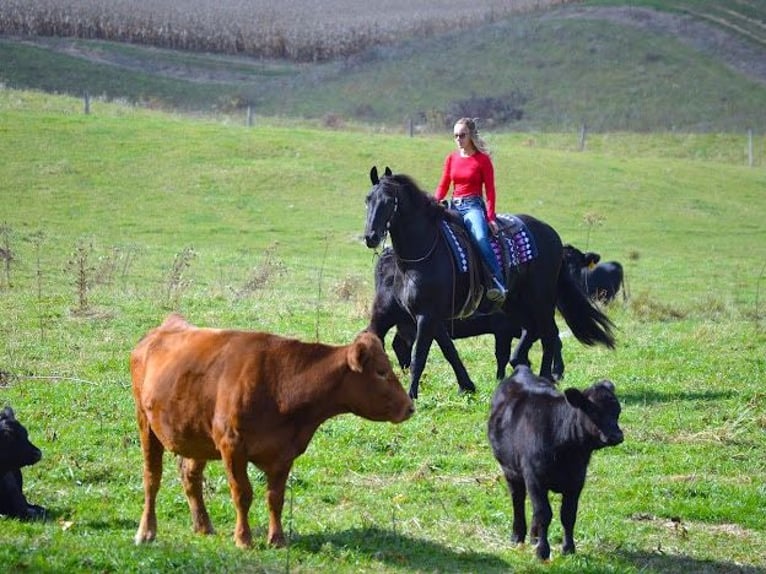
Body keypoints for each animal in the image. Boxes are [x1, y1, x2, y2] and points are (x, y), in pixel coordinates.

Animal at [132, 316, 414, 548]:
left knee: (190, 475)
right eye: (381, 372)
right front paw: (243, 538)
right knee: (152, 478)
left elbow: (275, 498)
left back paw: (203, 525)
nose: (409, 407)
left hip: (196, 433)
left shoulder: (283, 453)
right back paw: (146, 531)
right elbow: (242, 494)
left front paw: (277, 539)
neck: (279, 385)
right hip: (145, 423)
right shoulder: (232, 446)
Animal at [366, 166, 616, 400]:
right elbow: (448, 350)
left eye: (389, 202)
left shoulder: (427, 316)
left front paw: (412, 395)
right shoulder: (431, 317)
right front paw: (466, 385)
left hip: (540, 299)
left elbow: (421, 355)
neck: (422, 253)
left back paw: (546, 378)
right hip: (514, 303)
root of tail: (551, 233)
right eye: (368, 199)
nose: (371, 236)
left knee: (548, 335)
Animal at [488, 366, 628, 560]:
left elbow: (568, 515)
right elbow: (544, 513)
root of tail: (522, 370)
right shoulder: (535, 478)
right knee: (518, 499)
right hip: (510, 470)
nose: (616, 436)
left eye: (617, 411)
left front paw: (568, 548)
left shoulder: (577, 480)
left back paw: (534, 537)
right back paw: (517, 536)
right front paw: (542, 551)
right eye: (593, 411)